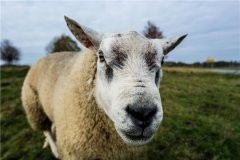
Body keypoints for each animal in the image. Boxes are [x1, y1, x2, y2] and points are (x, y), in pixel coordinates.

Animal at [21, 15, 187, 159]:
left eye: (162, 61)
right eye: (101, 57)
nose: (143, 113)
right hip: (34, 107)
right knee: (46, 129)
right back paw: (55, 150)